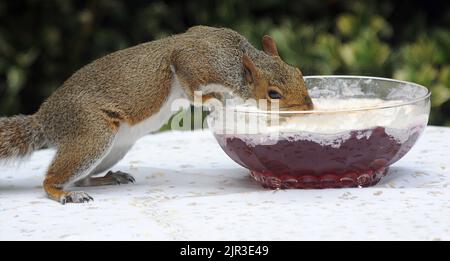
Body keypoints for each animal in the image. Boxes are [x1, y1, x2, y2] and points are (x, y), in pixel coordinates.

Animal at [0, 25, 312, 203]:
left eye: (298, 72)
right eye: (273, 94)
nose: (309, 108)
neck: (236, 59)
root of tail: (45, 119)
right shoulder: (194, 60)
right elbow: (193, 85)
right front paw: (216, 101)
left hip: (112, 149)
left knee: (82, 177)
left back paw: (106, 179)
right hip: (92, 133)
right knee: (52, 180)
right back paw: (64, 194)